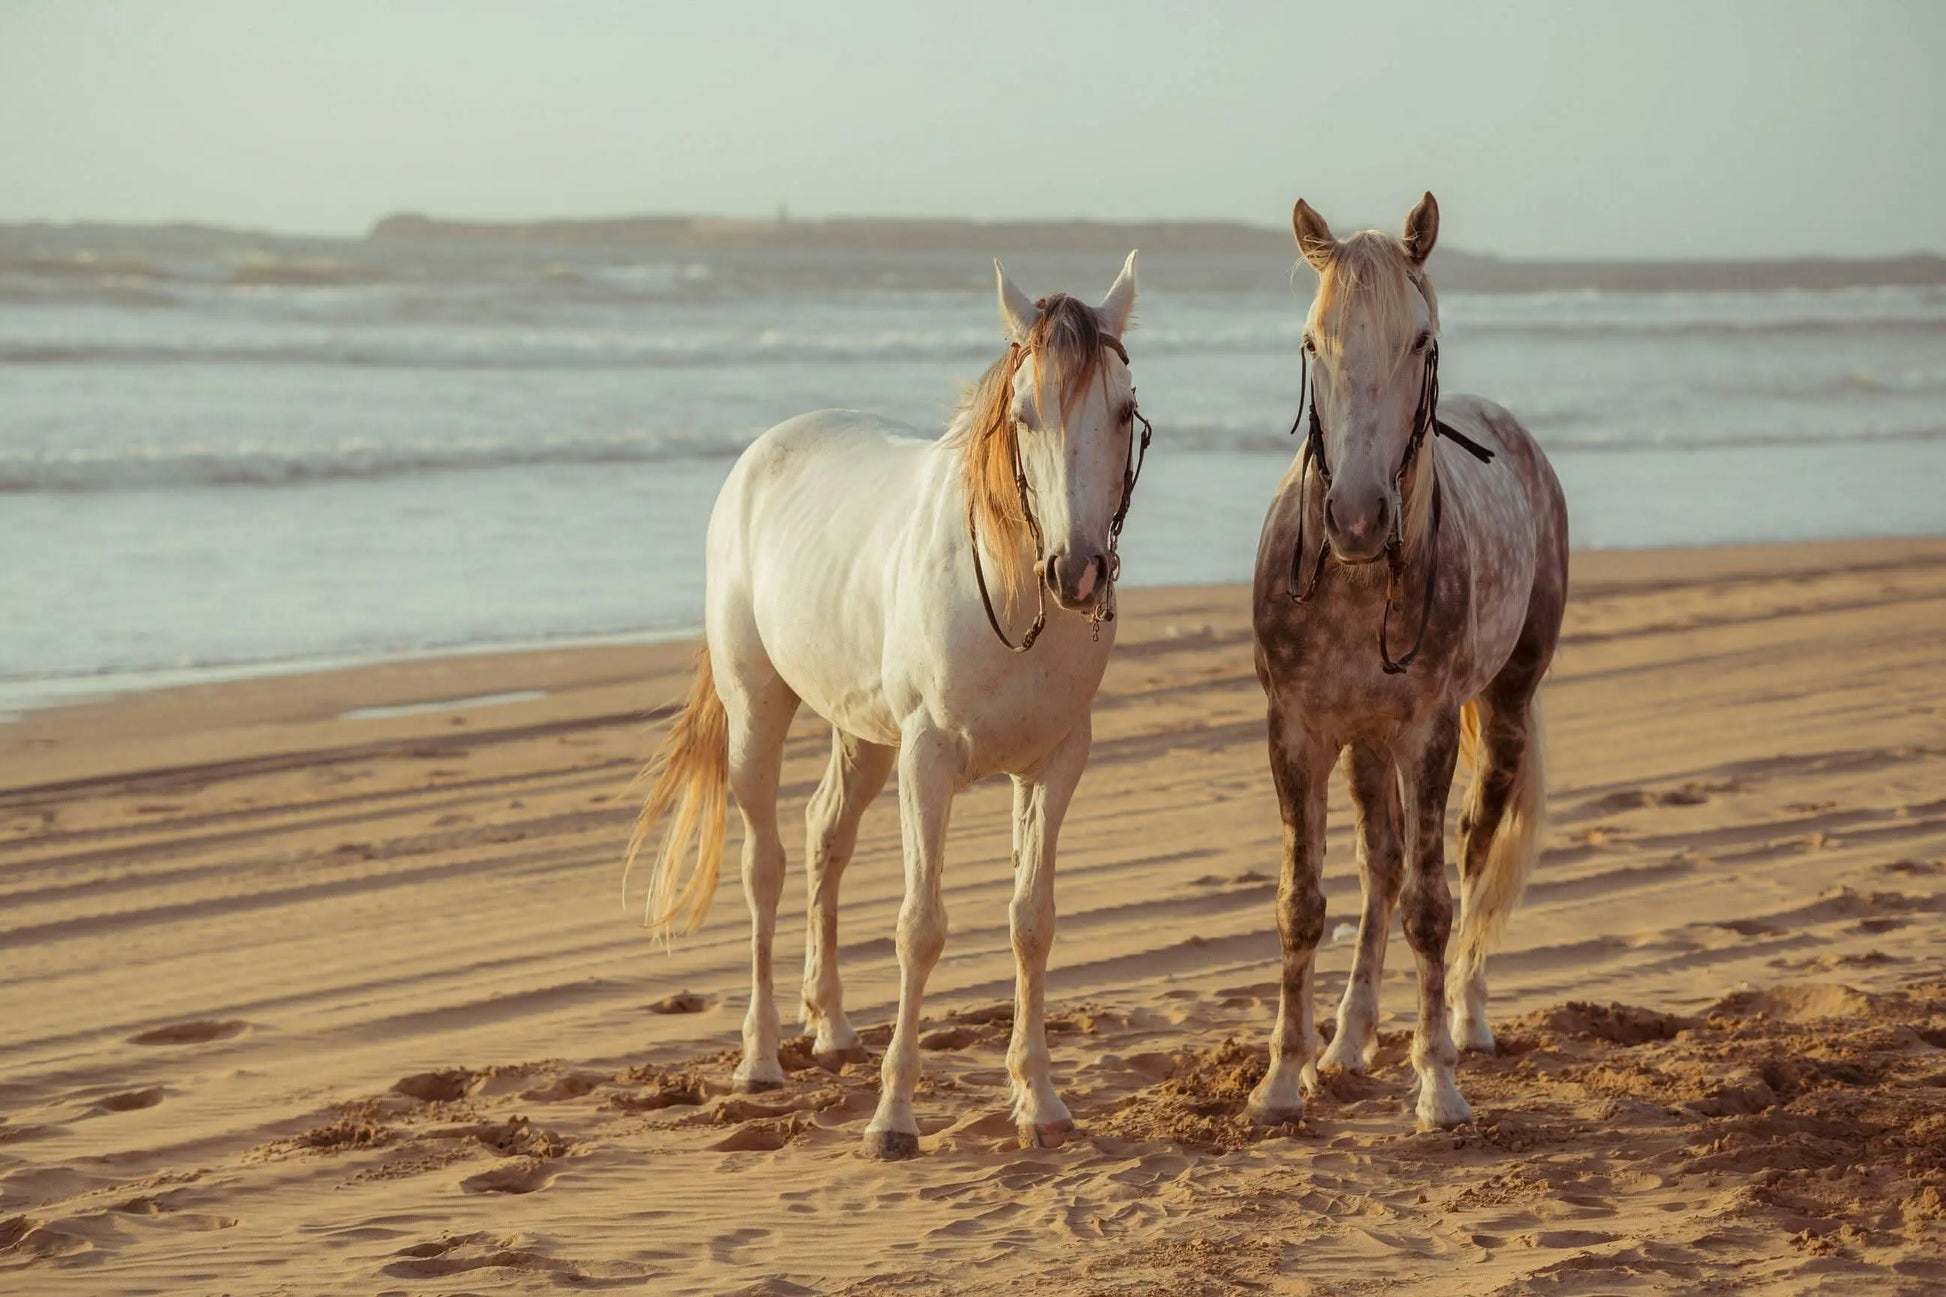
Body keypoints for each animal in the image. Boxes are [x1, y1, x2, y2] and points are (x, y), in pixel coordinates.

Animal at [624, 254, 1149, 1159]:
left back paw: (831, 1027)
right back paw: (760, 1056)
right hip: (759, 711)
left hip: (864, 734)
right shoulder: (927, 760)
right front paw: (893, 1117)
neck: (1009, 586)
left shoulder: (1055, 763)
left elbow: (1033, 921)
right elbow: (920, 927)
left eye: (1122, 409)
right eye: (1023, 414)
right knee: (766, 863)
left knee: (824, 833)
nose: (1077, 571)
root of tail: (766, 449)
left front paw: (1039, 1100)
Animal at [1247, 193, 1568, 1131]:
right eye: (1313, 341)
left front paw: (1439, 1086)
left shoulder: (1427, 733)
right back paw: (1348, 1040)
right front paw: (1282, 1079)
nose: (1354, 516)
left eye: (1420, 341)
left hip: (1502, 712)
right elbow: (1303, 903)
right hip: (1364, 742)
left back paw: (1467, 1018)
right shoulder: (1298, 732)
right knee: (1380, 866)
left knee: (1469, 858)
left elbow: (1433, 906)